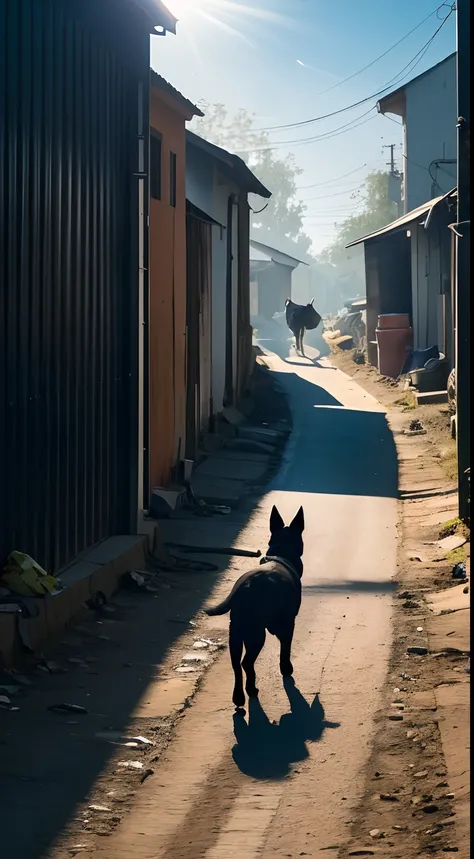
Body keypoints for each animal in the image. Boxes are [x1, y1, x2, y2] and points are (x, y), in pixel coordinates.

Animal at [206, 508, 304, 708]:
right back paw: (251, 690)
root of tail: (245, 587)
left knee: (236, 664)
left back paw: (239, 697)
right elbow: (286, 648)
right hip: (256, 634)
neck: (282, 555)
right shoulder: (289, 623)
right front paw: (286, 669)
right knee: (246, 663)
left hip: (235, 633)